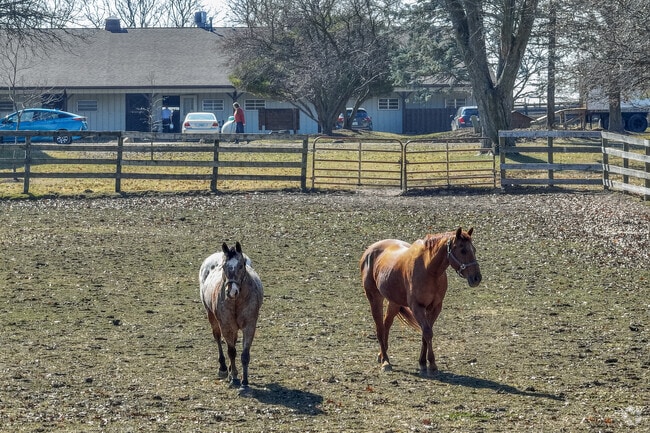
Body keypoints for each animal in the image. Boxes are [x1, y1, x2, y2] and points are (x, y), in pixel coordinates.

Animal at [199, 242, 263, 390]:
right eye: (223, 267)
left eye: (241, 265)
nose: (231, 291)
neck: (236, 301)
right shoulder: (226, 326)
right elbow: (231, 351)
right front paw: (234, 377)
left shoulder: (249, 326)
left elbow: (244, 354)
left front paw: (244, 382)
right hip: (211, 316)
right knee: (218, 338)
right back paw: (223, 368)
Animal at [360, 227, 481, 376]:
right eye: (463, 250)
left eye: (474, 249)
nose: (477, 278)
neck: (429, 270)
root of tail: (369, 250)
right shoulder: (417, 307)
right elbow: (427, 332)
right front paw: (432, 365)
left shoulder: (435, 307)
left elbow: (425, 333)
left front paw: (423, 363)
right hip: (375, 298)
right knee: (379, 327)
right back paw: (385, 362)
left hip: (394, 302)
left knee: (386, 324)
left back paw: (382, 355)